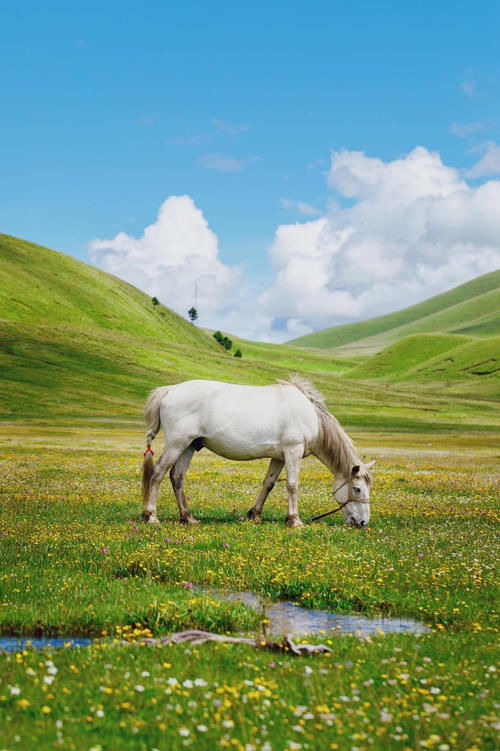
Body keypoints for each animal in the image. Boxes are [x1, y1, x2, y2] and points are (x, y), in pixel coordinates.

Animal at [141, 376, 376, 528]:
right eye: (357, 489)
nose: (363, 522)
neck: (312, 417)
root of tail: (170, 390)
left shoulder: (279, 457)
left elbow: (268, 484)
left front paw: (255, 514)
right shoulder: (293, 451)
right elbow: (292, 485)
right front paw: (295, 520)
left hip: (189, 446)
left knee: (177, 477)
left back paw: (187, 518)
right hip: (176, 443)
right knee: (158, 473)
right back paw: (151, 516)